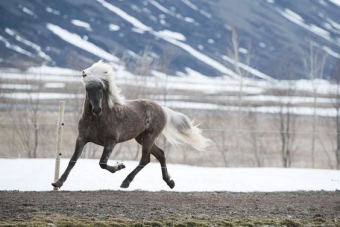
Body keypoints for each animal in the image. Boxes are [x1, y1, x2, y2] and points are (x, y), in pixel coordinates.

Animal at [51, 60, 210, 190]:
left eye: (100, 88)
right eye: (87, 89)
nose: (96, 109)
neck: (97, 120)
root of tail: (162, 109)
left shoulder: (111, 142)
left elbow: (102, 163)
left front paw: (119, 166)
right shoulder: (82, 139)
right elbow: (72, 161)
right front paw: (58, 182)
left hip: (149, 136)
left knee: (145, 159)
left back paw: (126, 182)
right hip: (141, 138)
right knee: (160, 154)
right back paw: (170, 182)